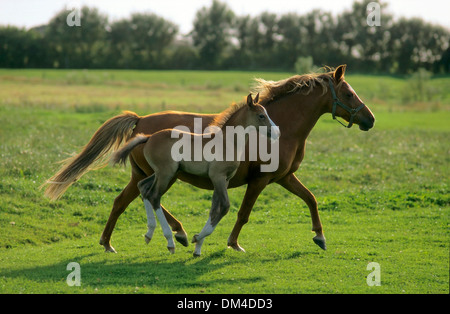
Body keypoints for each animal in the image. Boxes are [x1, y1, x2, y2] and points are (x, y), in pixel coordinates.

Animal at [43, 65, 372, 253]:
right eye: (349, 93)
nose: (370, 119)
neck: (286, 127)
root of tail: (140, 122)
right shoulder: (261, 180)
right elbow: (243, 213)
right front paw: (232, 244)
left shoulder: (284, 177)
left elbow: (311, 199)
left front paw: (320, 237)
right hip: (157, 174)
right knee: (139, 198)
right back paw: (171, 235)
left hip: (147, 174)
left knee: (130, 199)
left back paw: (120, 241)